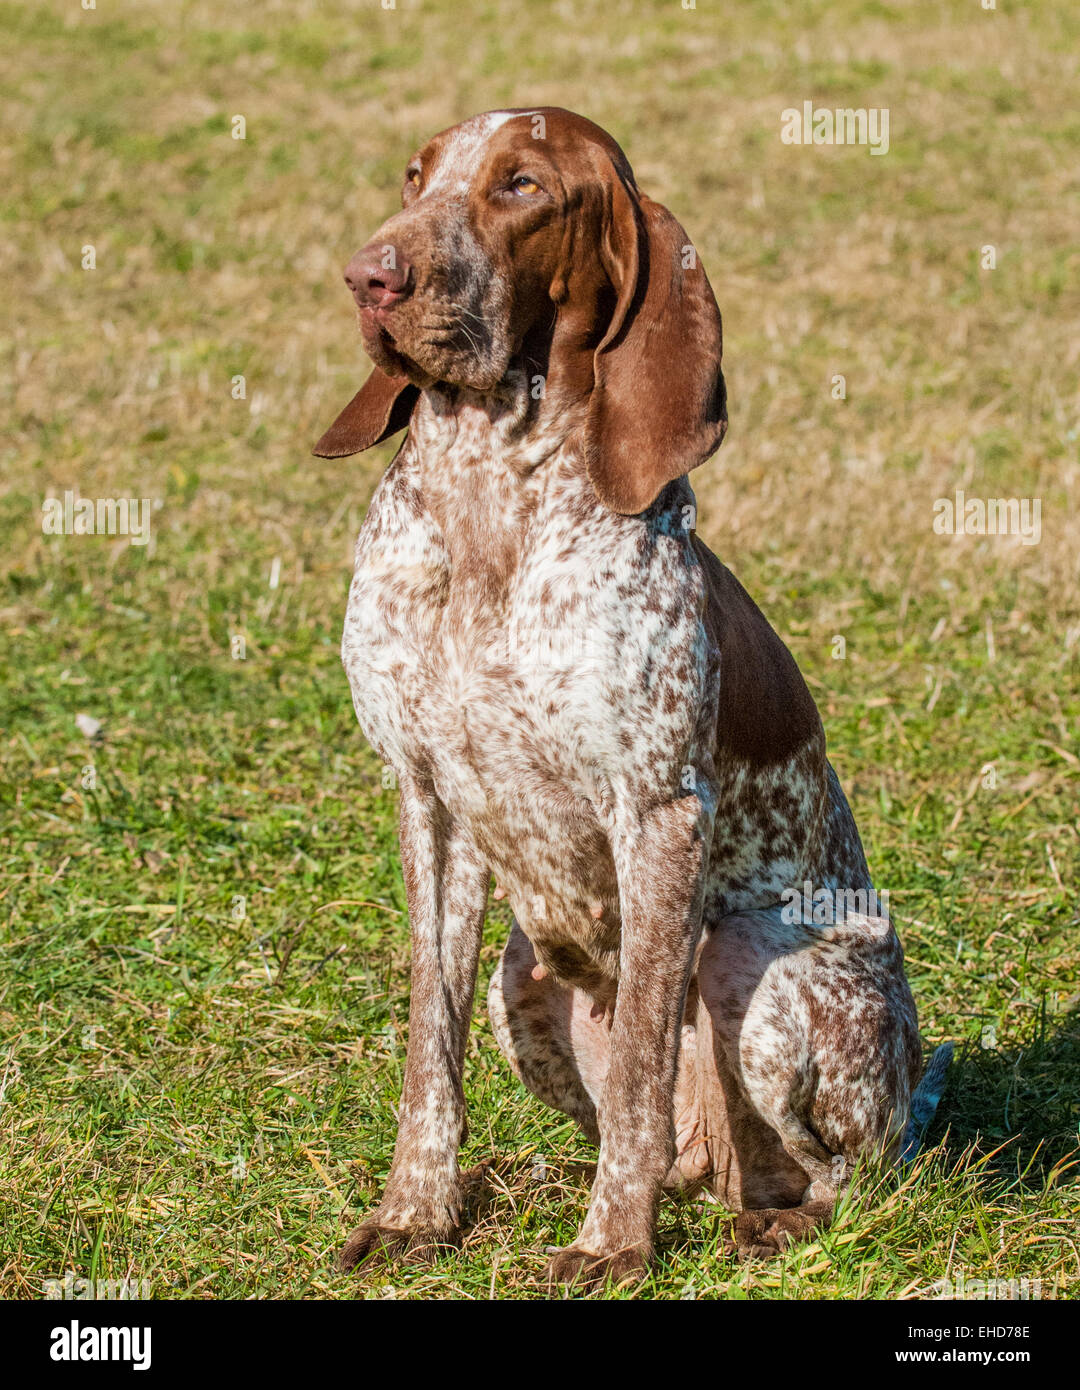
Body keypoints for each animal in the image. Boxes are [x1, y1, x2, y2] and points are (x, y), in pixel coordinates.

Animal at [311, 108, 945, 1289]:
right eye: (417, 176)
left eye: (522, 186)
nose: (370, 276)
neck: (490, 498)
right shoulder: (427, 799)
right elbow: (430, 1048)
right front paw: (420, 1211)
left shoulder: (657, 812)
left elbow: (648, 1057)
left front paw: (611, 1245)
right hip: (525, 970)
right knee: (667, 1146)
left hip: (764, 967)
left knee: (838, 1178)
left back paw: (761, 1218)